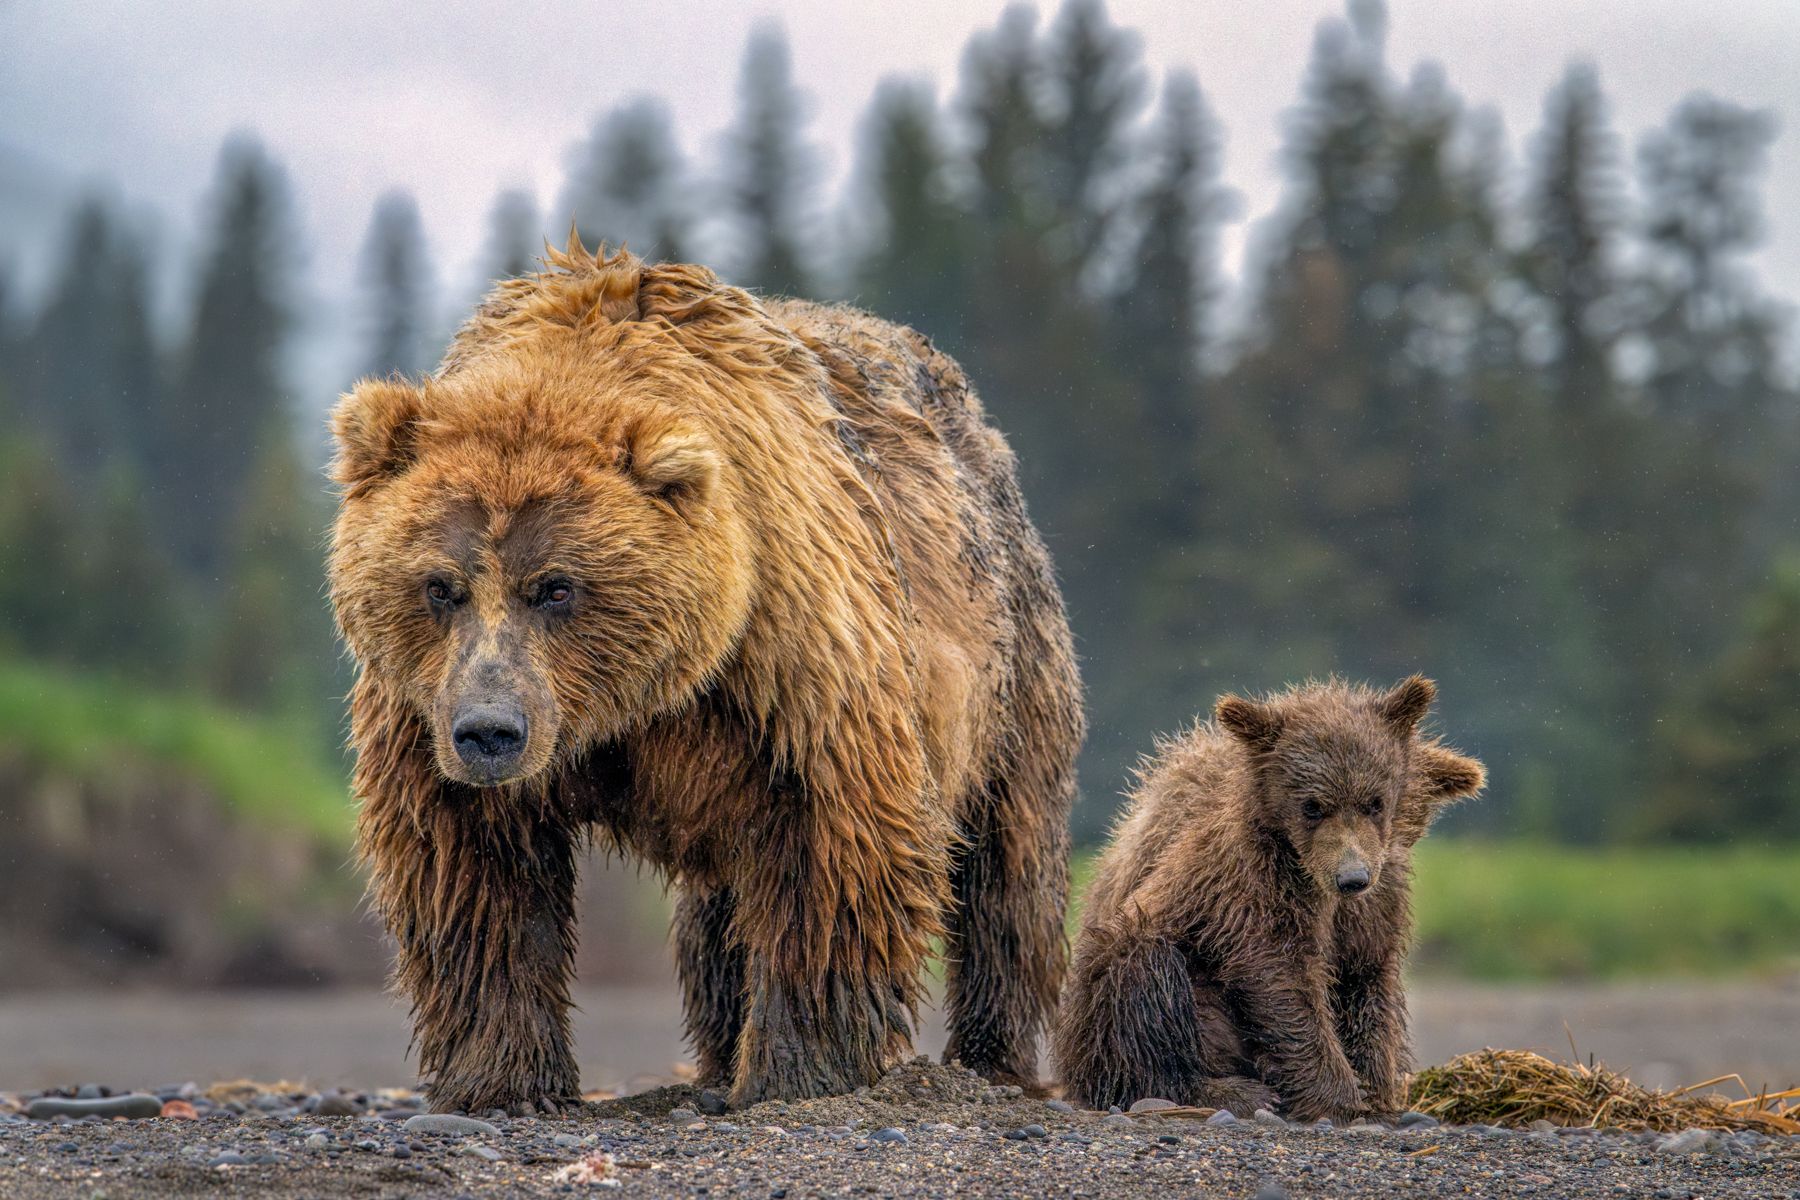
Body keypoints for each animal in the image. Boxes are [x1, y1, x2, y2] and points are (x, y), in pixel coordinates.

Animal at [327, 237, 1080, 1115]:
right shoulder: (424, 713)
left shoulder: (790, 645)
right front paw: (504, 1081)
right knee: (718, 912)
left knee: (1008, 864)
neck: (637, 702)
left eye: (556, 587)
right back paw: (719, 1052)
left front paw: (800, 1071)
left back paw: (990, 1054)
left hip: (1008, 649)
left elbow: (831, 839)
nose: (489, 732)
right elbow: (471, 867)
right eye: (440, 585)